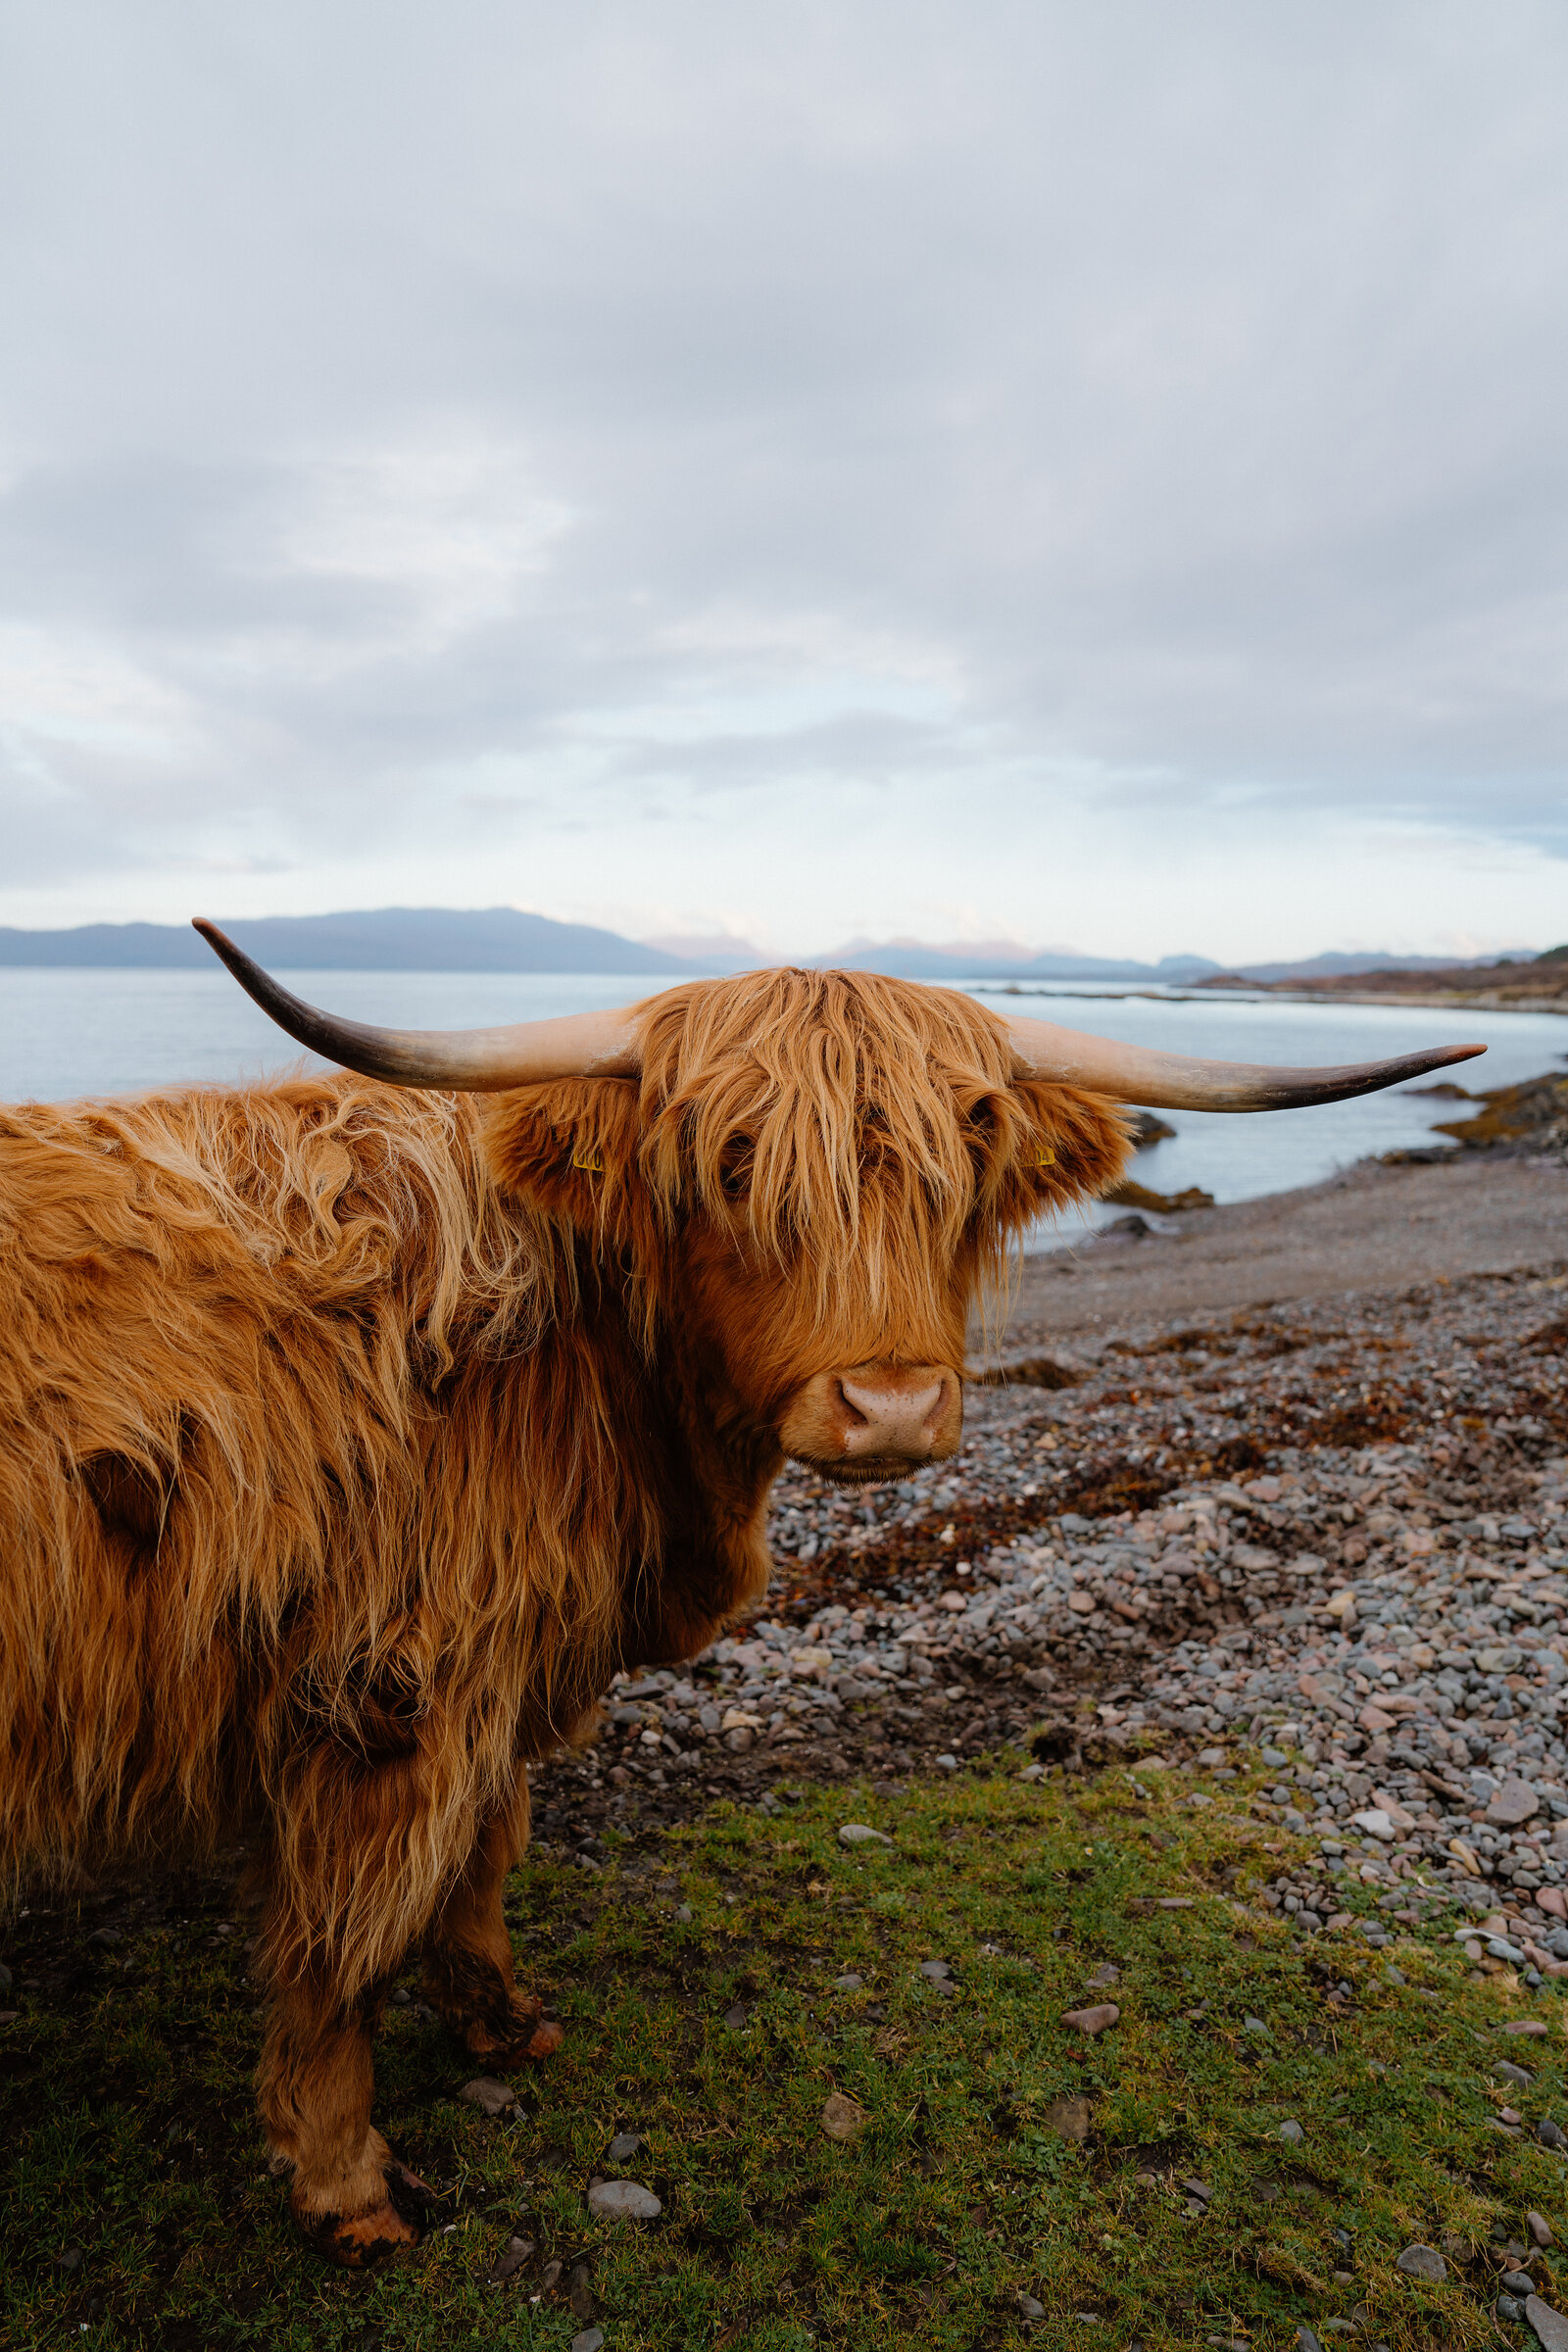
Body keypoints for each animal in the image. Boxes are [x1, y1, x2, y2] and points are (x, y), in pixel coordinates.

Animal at [0, 924, 1481, 2262]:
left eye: (964, 1156)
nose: (892, 1405)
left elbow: (485, 1850)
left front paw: (502, 2022)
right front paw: (348, 2186)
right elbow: (343, 1949)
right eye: (733, 1163)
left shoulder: (498, 1666)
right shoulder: (389, 1689)